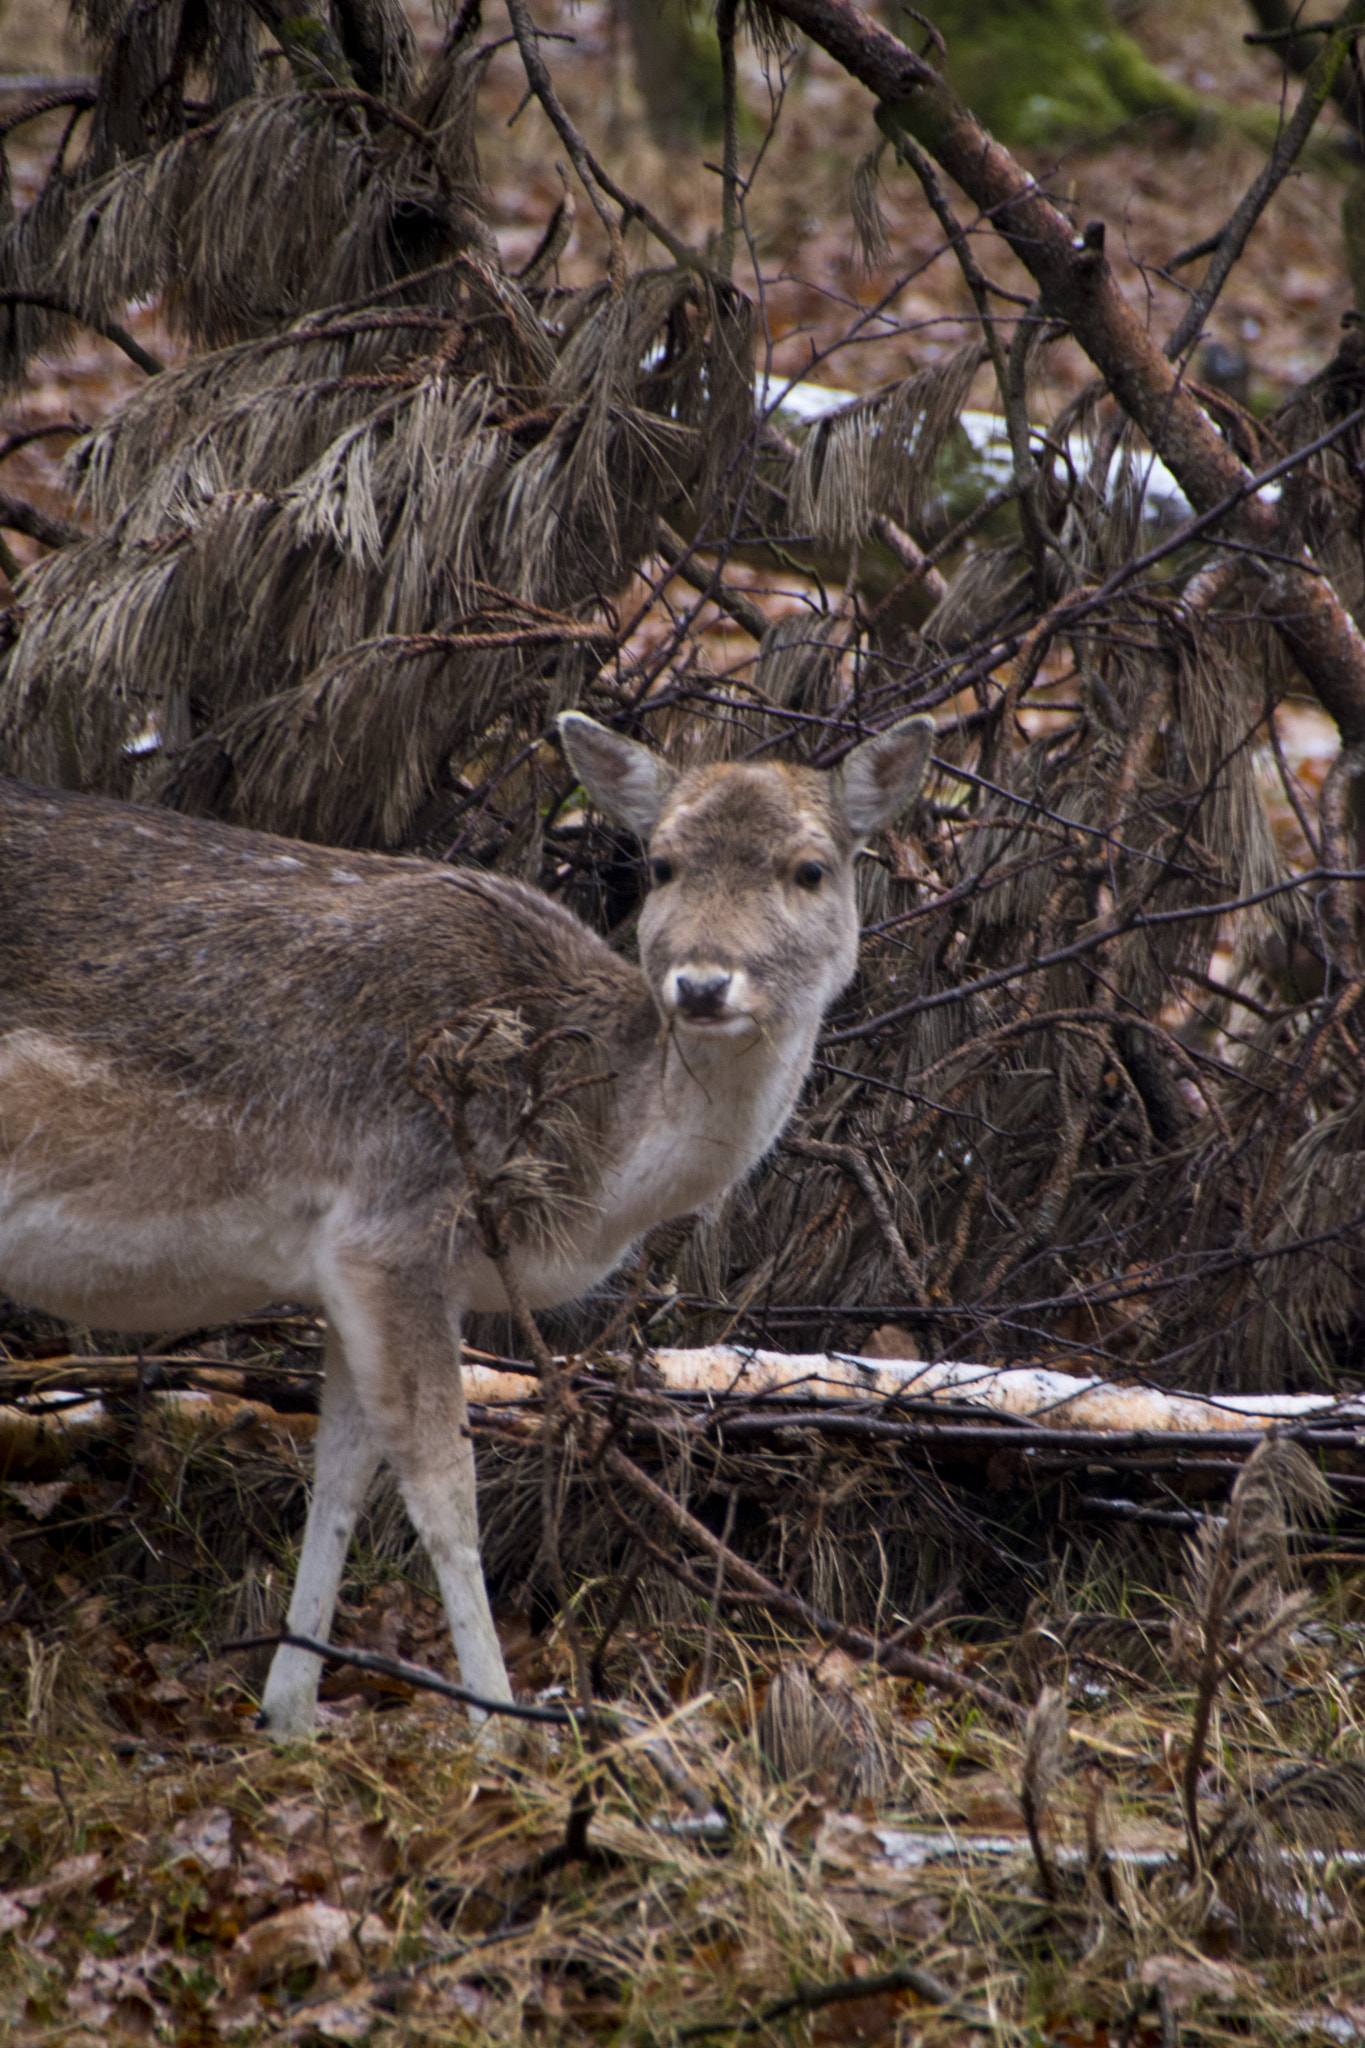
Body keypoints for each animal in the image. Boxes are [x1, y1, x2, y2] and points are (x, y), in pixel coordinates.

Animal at [0, 709, 934, 1737]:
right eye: (660, 863)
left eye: (809, 868)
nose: (700, 984)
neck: (589, 1170)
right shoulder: (395, 1224)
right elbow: (444, 1482)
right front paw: (500, 1721)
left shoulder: (353, 1266)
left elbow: (342, 1469)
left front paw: (290, 1711)